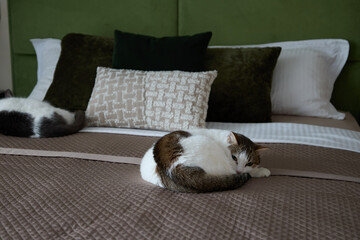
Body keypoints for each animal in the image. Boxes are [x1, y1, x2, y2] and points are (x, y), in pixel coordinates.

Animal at [141, 127, 270, 193]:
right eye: (234, 158)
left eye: (249, 163)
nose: (239, 171)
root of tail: (172, 167)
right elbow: (250, 172)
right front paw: (261, 171)